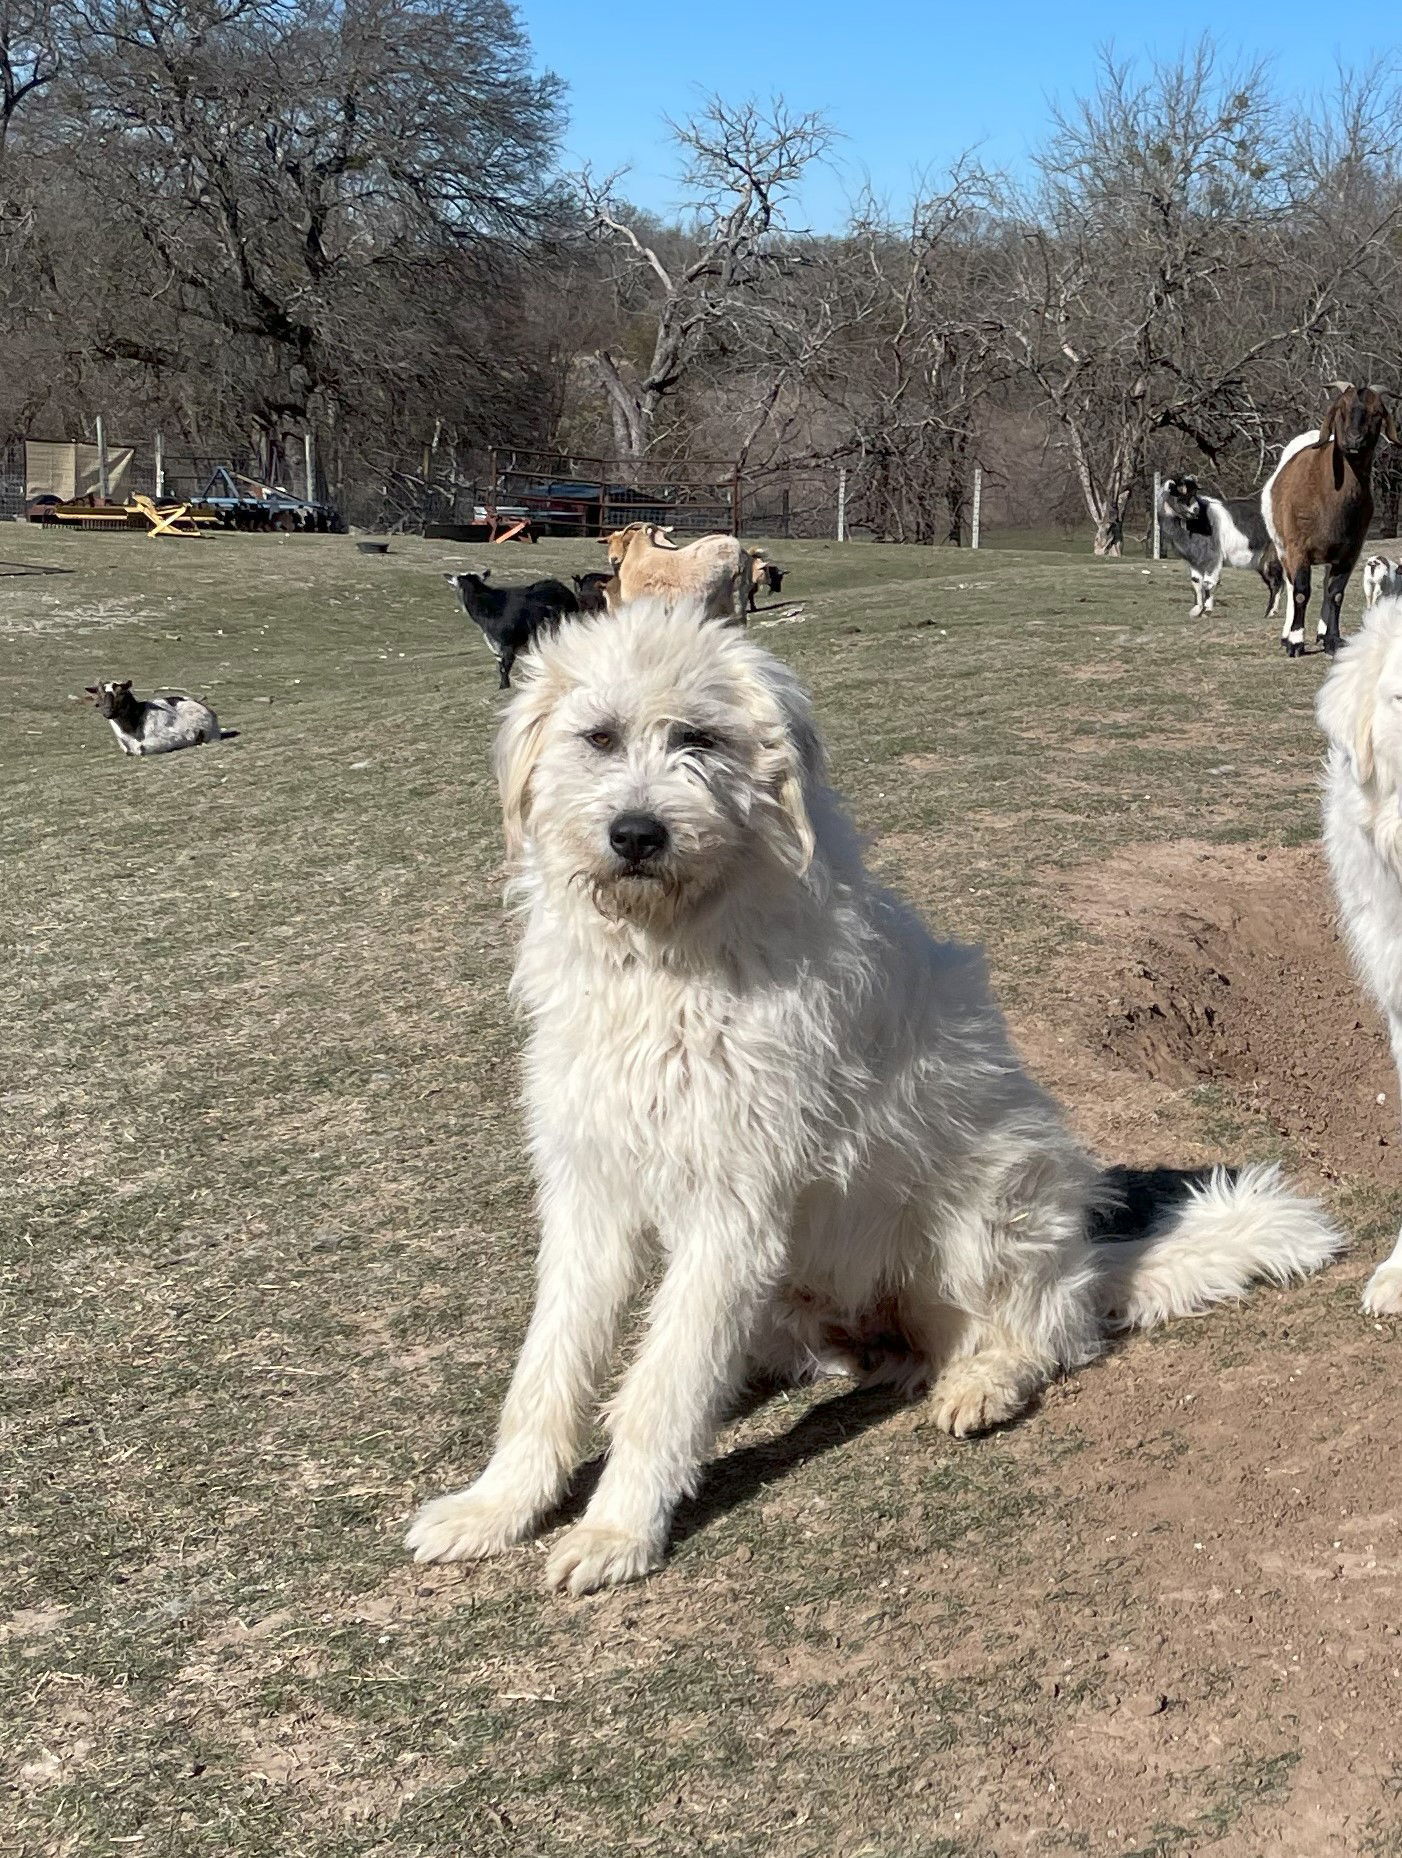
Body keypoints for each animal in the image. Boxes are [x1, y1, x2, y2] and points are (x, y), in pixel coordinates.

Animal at [408, 601, 1351, 1590]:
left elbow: (664, 1386)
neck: (665, 959)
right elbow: (547, 1371)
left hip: (989, 1207)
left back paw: (983, 1381)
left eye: (698, 739)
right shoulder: (590, 1189)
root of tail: (1090, 1267)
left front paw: (618, 1531)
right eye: (598, 737)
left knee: (1045, 1335)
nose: (636, 833)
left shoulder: (731, 1204)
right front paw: (497, 1506)